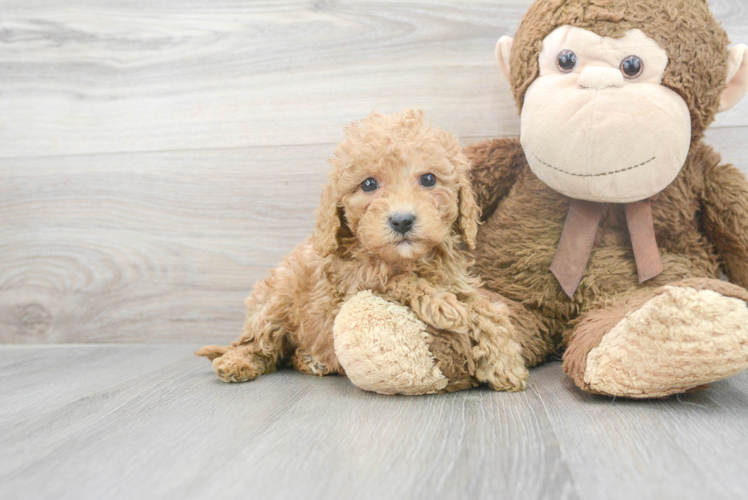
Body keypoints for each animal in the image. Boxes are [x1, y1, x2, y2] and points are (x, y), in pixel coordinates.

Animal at [197, 108, 524, 390]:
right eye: (368, 184)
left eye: (429, 179)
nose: (402, 220)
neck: (405, 259)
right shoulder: (351, 285)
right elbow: (395, 280)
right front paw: (441, 303)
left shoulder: (457, 281)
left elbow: (486, 308)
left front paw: (504, 361)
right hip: (275, 300)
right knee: (257, 343)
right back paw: (238, 362)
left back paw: (310, 360)